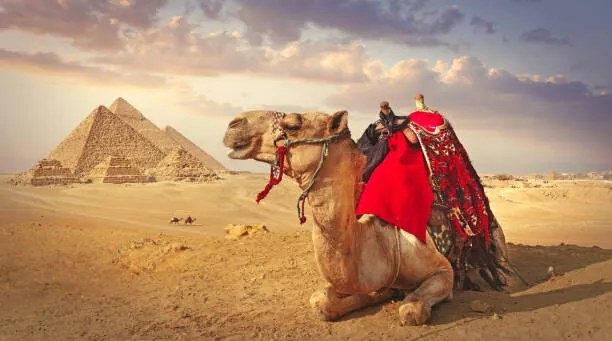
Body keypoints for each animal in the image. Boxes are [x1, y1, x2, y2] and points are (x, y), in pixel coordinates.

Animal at [222, 109, 510, 324]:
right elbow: (321, 301)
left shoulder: (442, 270)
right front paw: (373, 295)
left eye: (292, 125)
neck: (378, 243)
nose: (234, 124)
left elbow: (411, 311)